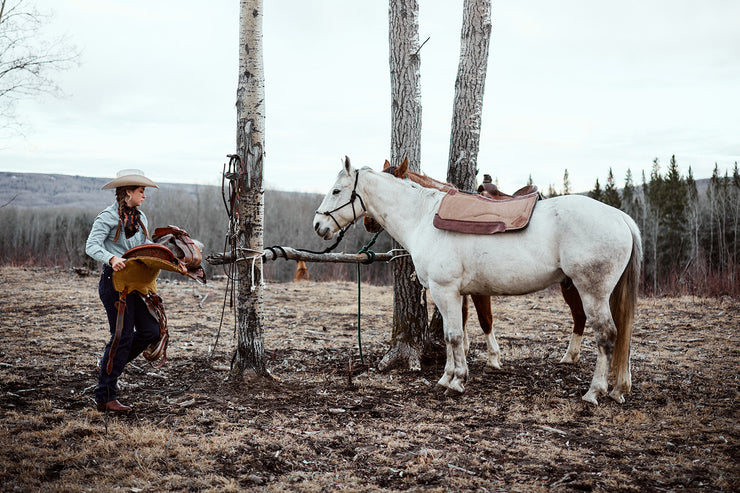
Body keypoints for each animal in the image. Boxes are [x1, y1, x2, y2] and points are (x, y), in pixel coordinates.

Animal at [312, 158, 640, 404]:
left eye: (337, 190)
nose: (318, 225)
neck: (423, 218)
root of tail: (621, 217)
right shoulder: (452, 294)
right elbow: (450, 336)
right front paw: (446, 377)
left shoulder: (446, 291)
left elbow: (456, 336)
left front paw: (457, 381)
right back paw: (618, 389)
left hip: (591, 292)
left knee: (606, 335)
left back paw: (594, 391)